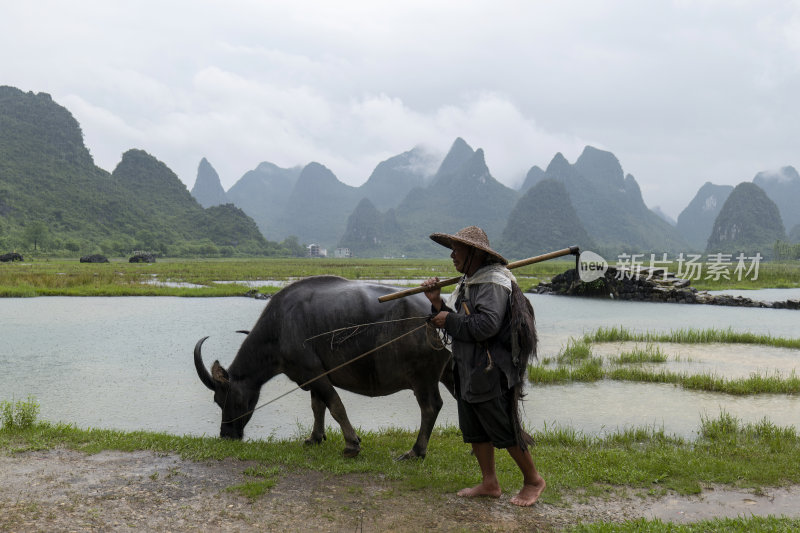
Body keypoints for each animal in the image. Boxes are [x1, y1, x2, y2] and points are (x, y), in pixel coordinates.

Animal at [194, 274, 454, 458]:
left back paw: (416, 451)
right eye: (217, 401)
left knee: (431, 407)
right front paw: (315, 438)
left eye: (226, 399)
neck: (280, 328)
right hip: (449, 372)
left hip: (423, 379)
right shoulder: (310, 378)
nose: (226, 435)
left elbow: (336, 406)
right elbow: (317, 407)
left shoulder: (315, 373)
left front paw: (352, 444)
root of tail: (441, 311)